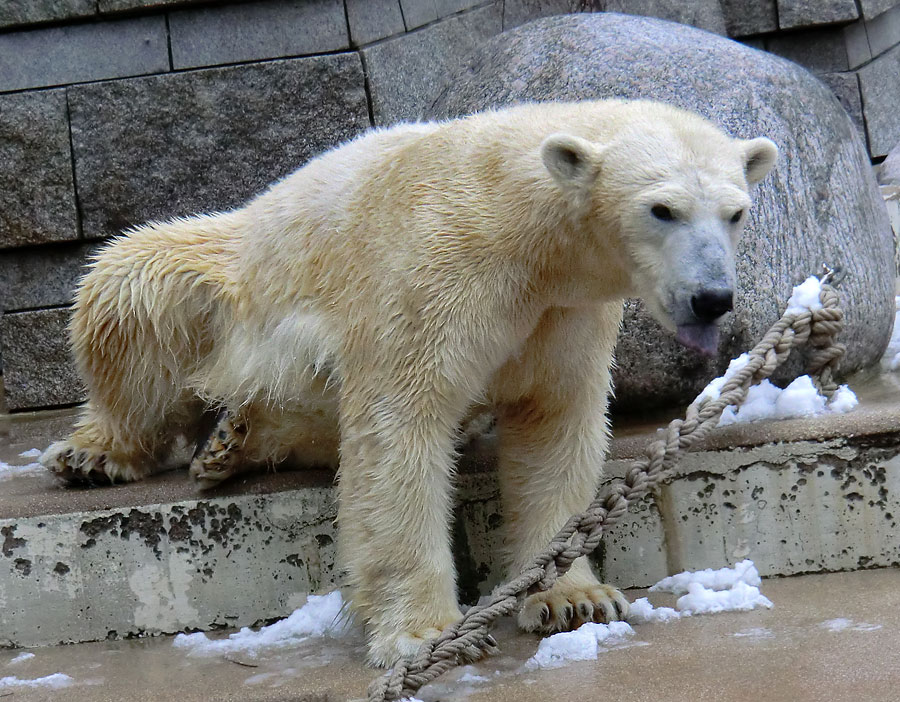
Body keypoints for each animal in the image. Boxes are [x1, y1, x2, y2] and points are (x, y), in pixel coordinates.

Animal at [42, 99, 776, 664]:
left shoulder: (564, 315)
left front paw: (573, 598)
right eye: (662, 209)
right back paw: (95, 454)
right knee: (130, 284)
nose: (712, 297)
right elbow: (400, 431)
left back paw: (233, 440)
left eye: (736, 212)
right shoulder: (434, 278)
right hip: (230, 272)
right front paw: (428, 634)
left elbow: (554, 425)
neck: (519, 229)